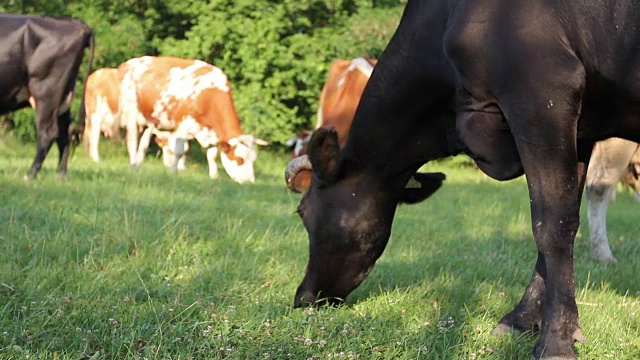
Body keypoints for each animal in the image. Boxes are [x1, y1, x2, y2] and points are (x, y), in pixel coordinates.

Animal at [0, 14, 94, 180]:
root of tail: (76, 24)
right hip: (64, 97)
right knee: (64, 133)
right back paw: (60, 174)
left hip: (47, 92)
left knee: (48, 132)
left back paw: (30, 174)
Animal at [117, 57, 264, 184]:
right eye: (239, 159)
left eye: (254, 159)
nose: (250, 182)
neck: (208, 96)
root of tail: (126, 64)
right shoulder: (183, 125)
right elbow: (180, 150)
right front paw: (174, 171)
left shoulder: (212, 133)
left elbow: (212, 155)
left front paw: (214, 176)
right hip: (131, 112)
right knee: (132, 139)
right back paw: (133, 165)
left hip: (150, 119)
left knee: (144, 142)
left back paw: (139, 162)